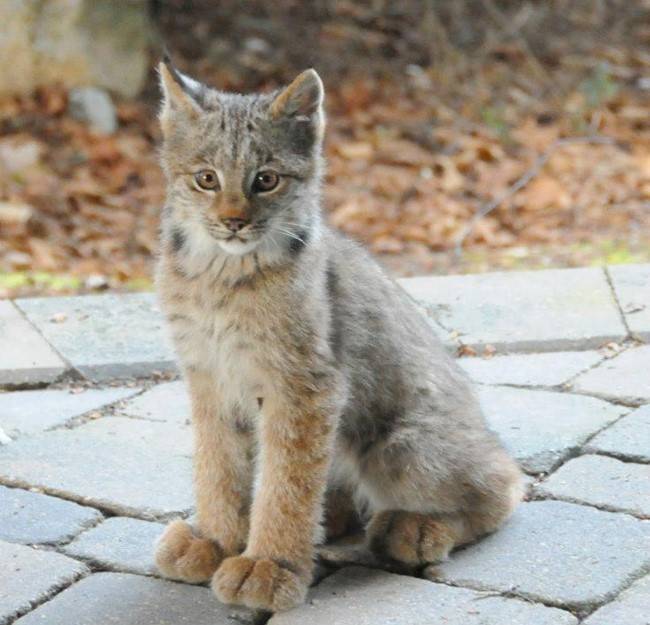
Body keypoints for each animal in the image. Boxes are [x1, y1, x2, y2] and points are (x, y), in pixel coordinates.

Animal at [153, 59, 523, 613]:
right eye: (206, 179)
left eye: (267, 180)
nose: (233, 222)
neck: (221, 273)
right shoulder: (209, 375)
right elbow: (218, 463)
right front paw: (216, 541)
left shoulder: (304, 385)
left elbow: (285, 482)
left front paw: (268, 566)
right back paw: (337, 520)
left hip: (401, 445)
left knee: (507, 481)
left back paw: (414, 530)